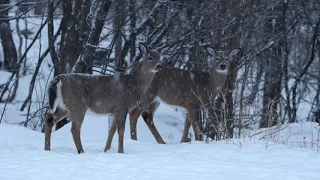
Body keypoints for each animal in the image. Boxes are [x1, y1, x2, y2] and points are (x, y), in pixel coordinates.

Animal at [103, 45, 240, 147]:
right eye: (217, 58)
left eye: (227, 58)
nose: (223, 65)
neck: (208, 85)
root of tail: (131, 68)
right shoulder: (192, 102)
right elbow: (196, 126)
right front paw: (199, 142)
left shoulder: (189, 106)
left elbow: (187, 125)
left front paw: (182, 142)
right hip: (147, 95)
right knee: (134, 114)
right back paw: (136, 141)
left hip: (155, 100)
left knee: (147, 116)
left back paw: (161, 142)